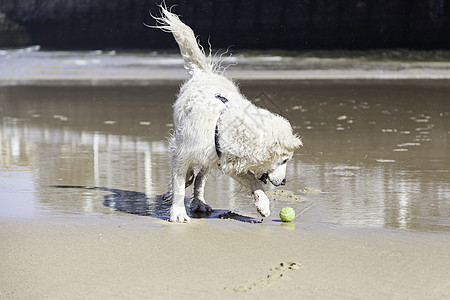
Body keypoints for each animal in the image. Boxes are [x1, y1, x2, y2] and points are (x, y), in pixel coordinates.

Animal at [154, 5, 302, 223]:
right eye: (284, 161)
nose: (284, 182)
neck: (224, 125)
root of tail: (204, 73)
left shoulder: (227, 162)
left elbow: (253, 181)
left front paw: (263, 205)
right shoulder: (183, 151)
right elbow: (179, 184)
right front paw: (178, 212)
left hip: (209, 160)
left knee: (200, 180)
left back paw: (199, 202)